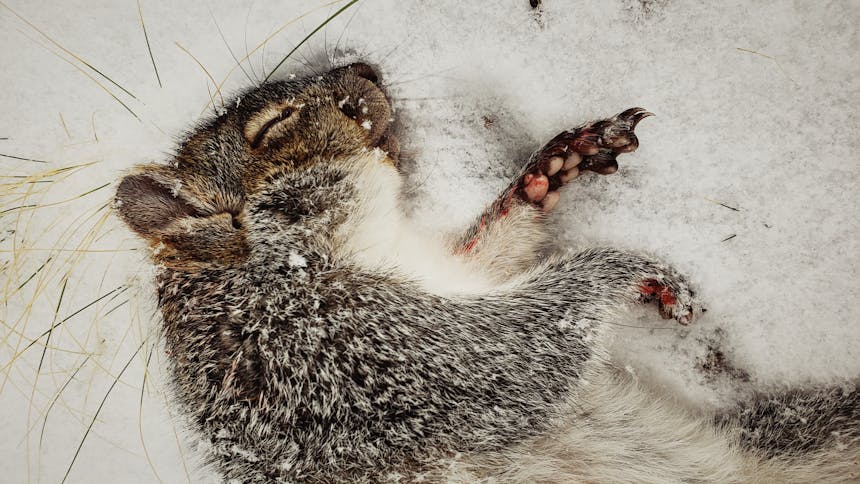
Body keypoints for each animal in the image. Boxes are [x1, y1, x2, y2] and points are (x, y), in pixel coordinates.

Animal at [112, 63, 852, 480]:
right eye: (275, 125)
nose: (363, 67)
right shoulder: (338, 356)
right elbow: (518, 357)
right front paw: (625, 269)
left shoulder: (445, 275)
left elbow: (488, 258)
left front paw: (549, 173)